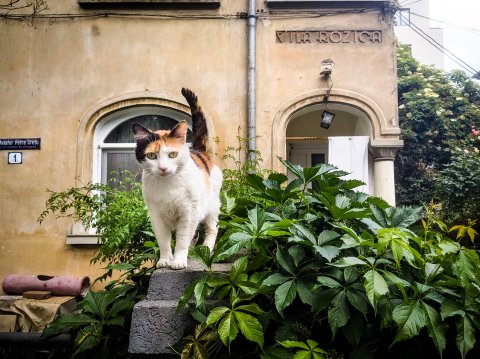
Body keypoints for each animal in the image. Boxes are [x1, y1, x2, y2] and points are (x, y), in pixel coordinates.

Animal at [130, 89, 222, 270]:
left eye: (173, 154)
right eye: (151, 156)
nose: (163, 168)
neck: (168, 186)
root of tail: (199, 151)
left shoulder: (188, 213)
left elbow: (182, 240)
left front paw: (179, 260)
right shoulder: (156, 215)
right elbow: (163, 241)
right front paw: (165, 260)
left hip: (211, 206)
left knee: (211, 229)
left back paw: (206, 249)